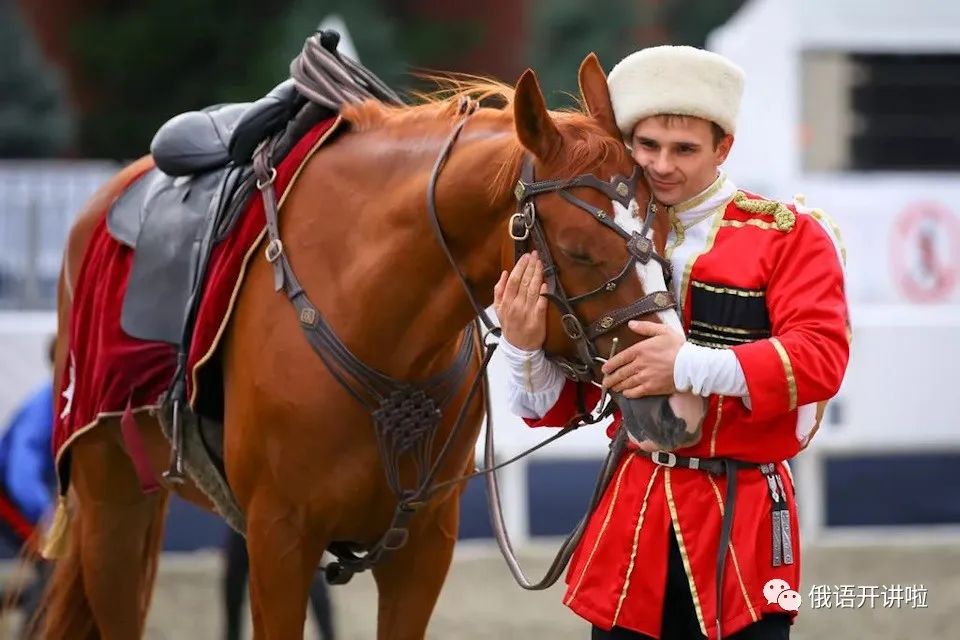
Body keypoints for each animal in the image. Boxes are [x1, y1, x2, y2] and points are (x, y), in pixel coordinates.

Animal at [41, 56, 700, 640]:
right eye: (579, 250)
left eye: (663, 229)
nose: (670, 406)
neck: (378, 324)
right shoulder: (278, 541)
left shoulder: (423, 547)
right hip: (109, 503)